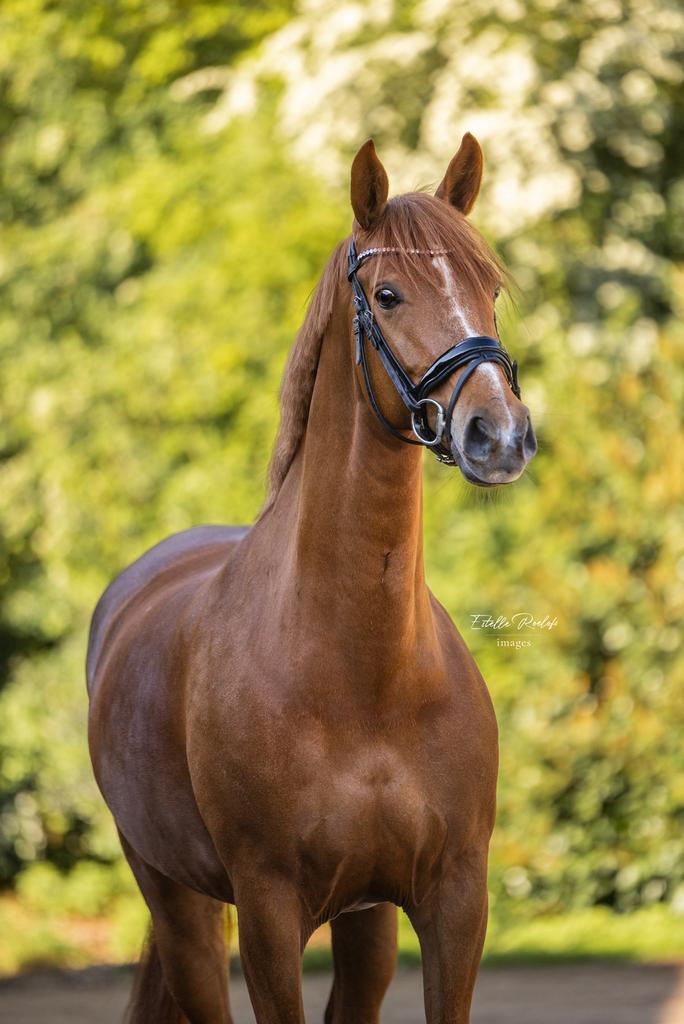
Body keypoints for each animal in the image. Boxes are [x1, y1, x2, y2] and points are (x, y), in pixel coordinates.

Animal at [87, 133, 537, 1024]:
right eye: (388, 295)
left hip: (362, 926)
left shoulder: (453, 901)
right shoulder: (269, 913)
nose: (498, 435)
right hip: (179, 904)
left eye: (490, 288)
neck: (363, 675)